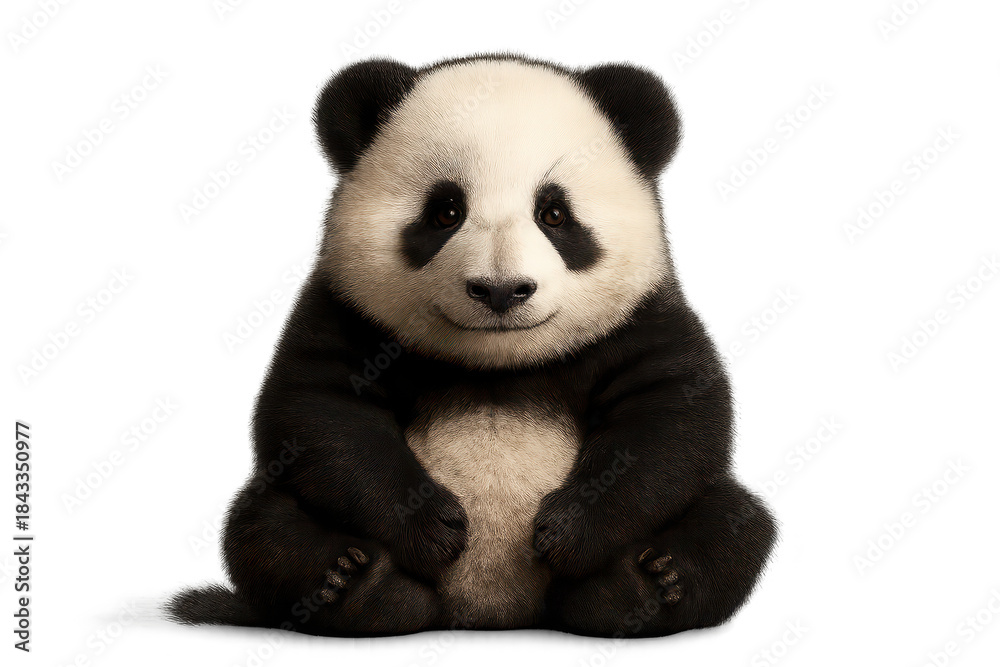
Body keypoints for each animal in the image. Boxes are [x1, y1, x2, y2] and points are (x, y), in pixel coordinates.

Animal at [168, 54, 777, 638]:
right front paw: (433, 529)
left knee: (736, 523)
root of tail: (493, 613)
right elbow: (323, 415)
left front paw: (568, 533)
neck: (497, 364)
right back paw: (359, 589)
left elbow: (670, 420)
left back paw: (641, 587)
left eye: (554, 213)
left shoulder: (639, 317)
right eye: (445, 211)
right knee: (262, 527)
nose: (501, 290)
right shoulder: (347, 314)